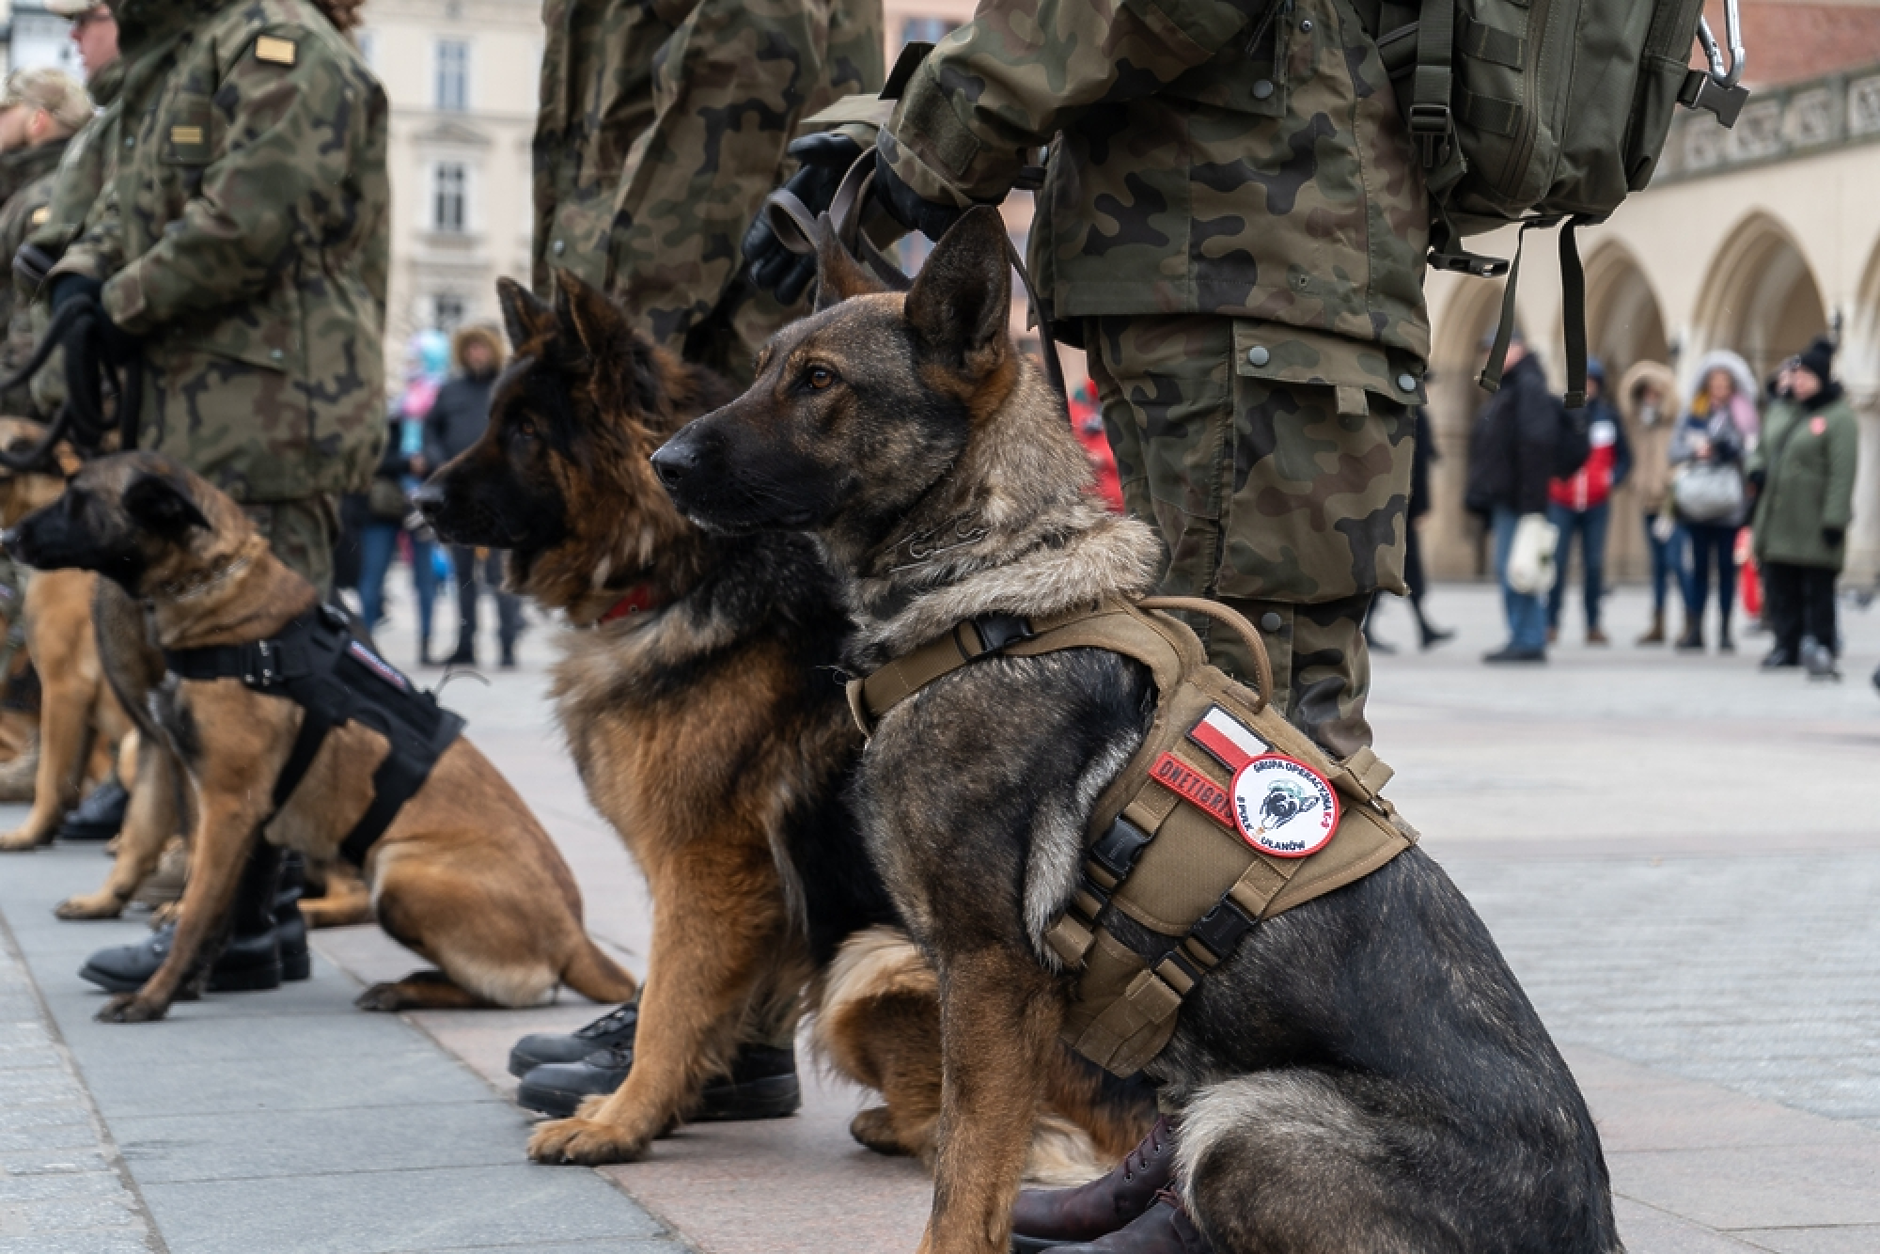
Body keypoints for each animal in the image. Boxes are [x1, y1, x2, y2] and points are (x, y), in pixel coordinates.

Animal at [5, 451, 639, 1022]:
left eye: (77, 499)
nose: (9, 536)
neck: (221, 599)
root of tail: (577, 938)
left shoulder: (227, 805)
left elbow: (195, 912)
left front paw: (153, 996)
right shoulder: (183, 770)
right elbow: (169, 864)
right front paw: (180, 970)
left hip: (401, 870)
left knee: (515, 992)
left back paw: (406, 989)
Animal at [415, 272, 1143, 1180]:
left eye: (523, 431)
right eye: (494, 419)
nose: (417, 502)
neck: (690, 566)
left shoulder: (708, 868)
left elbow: (667, 1005)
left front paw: (622, 1119)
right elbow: (694, 1003)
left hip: (875, 967)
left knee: (998, 1134)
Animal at [654, 208, 1624, 1254]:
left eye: (820, 382)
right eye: (764, 367)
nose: (663, 462)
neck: (985, 593)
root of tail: (1595, 1231)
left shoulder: (992, 976)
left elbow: (963, 1174)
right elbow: (979, 1169)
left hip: (1243, 1119)